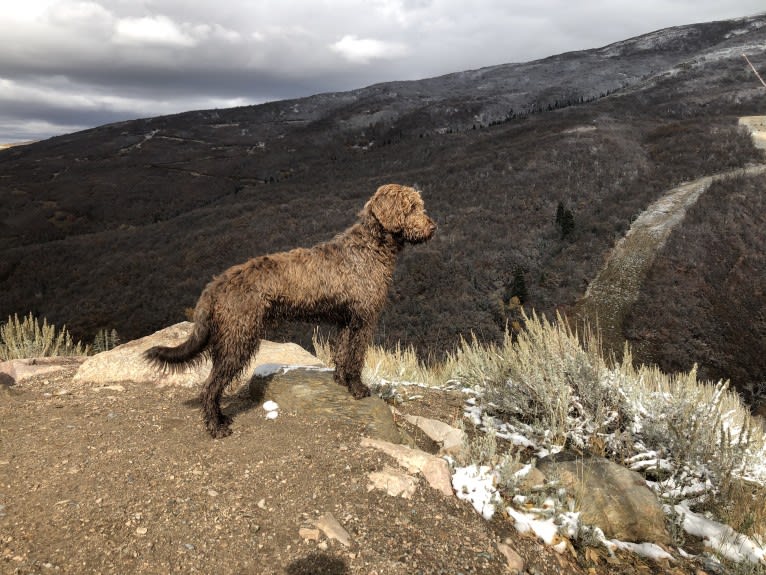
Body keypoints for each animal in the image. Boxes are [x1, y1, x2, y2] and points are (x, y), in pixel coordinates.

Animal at [146, 187, 438, 438]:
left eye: (419, 205)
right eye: (411, 207)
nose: (433, 226)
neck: (369, 247)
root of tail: (216, 283)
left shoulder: (346, 322)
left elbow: (342, 354)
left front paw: (340, 380)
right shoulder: (362, 321)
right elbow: (355, 358)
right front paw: (357, 388)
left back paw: (220, 419)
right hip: (238, 339)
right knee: (210, 386)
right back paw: (216, 427)